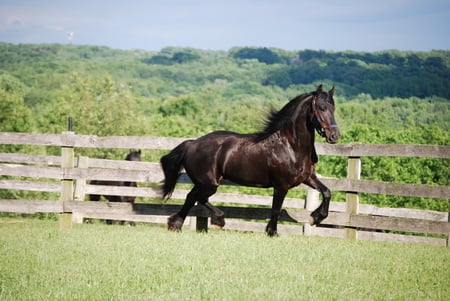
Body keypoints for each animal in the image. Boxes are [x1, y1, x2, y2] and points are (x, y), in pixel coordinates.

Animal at [160, 84, 340, 234]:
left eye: (334, 108)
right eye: (322, 107)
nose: (334, 136)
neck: (291, 146)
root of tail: (192, 144)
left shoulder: (308, 178)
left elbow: (327, 192)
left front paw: (315, 217)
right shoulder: (281, 186)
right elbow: (276, 209)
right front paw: (272, 232)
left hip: (204, 183)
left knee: (194, 197)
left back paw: (187, 224)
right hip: (209, 183)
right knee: (195, 198)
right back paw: (201, 222)